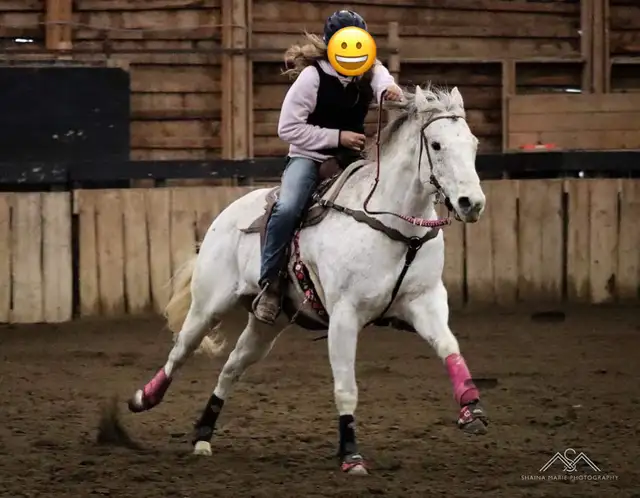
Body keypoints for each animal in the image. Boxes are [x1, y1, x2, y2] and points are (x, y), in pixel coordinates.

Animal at [127, 84, 488, 476]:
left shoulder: (427, 302)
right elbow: (346, 387)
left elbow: (450, 349)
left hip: (268, 324)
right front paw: (351, 455)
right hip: (208, 306)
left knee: (231, 367)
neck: (394, 226)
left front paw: (472, 409)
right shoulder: (345, 316)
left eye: (473, 143)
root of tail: (224, 216)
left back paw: (203, 435)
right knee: (180, 349)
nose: (472, 203)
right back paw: (143, 398)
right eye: (436, 145)